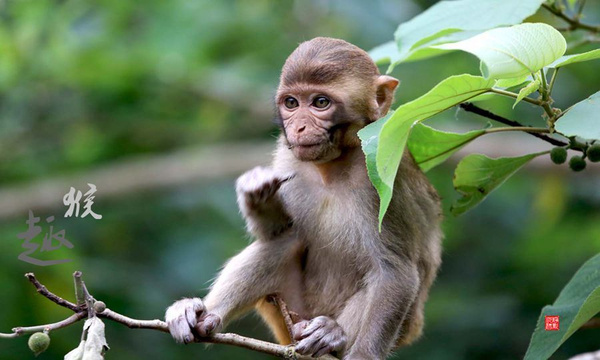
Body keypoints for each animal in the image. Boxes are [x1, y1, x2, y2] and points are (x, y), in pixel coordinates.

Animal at [166, 37, 442, 360]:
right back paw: (203, 316)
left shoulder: (384, 177)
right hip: (289, 312)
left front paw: (361, 353)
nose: (298, 127)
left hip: (402, 325)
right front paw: (257, 194)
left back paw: (331, 334)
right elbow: (278, 231)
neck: (332, 167)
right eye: (291, 103)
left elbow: (395, 271)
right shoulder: (287, 157)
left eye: (320, 103)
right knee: (284, 242)